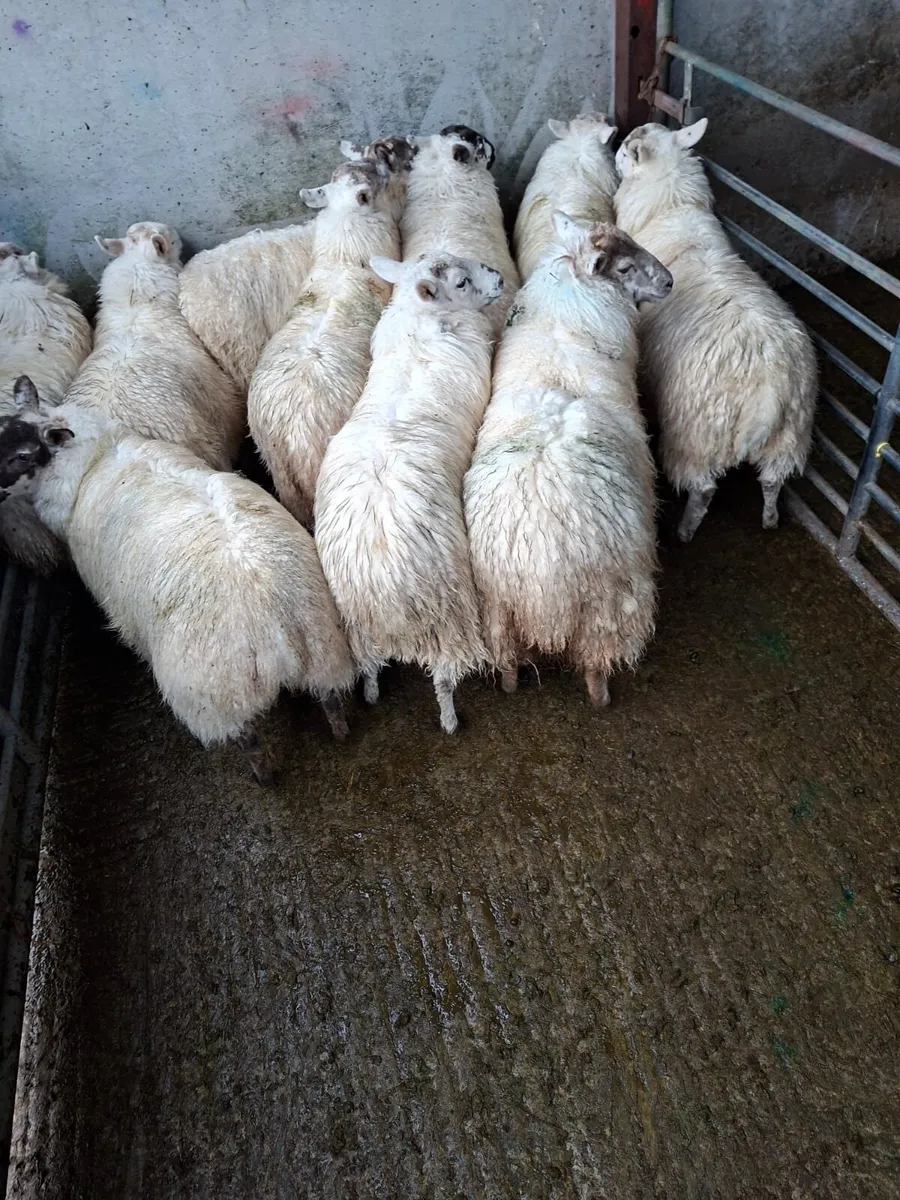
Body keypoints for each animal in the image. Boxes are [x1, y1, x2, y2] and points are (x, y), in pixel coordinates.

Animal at [13, 377, 355, 784]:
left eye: (19, 453)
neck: (99, 458)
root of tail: (276, 620)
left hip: (217, 697)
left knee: (249, 740)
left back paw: (263, 776)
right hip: (324, 650)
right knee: (331, 699)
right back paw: (340, 733)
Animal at [315, 251, 504, 734]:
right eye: (461, 282)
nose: (497, 276)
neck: (424, 323)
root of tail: (382, 574)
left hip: (358, 623)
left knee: (367, 665)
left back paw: (371, 692)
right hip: (448, 616)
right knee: (443, 679)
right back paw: (450, 720)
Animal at [464, 213, 673, 705]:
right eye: (624, 268)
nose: (670, 281)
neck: (567, 318)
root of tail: (545, 571)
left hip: (498, 608)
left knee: (507, 663)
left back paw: (509, 684)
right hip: (608, 602)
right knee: (597, 660)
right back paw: (601, 696)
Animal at [614, 119, 818, 540]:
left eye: (626, 148)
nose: (613, 154)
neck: (672, 209)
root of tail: (768, 395)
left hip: (696, 436)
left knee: (704, 488)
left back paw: (686, 529)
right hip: (791, 435)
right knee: (772, 481)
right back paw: (770, 518)